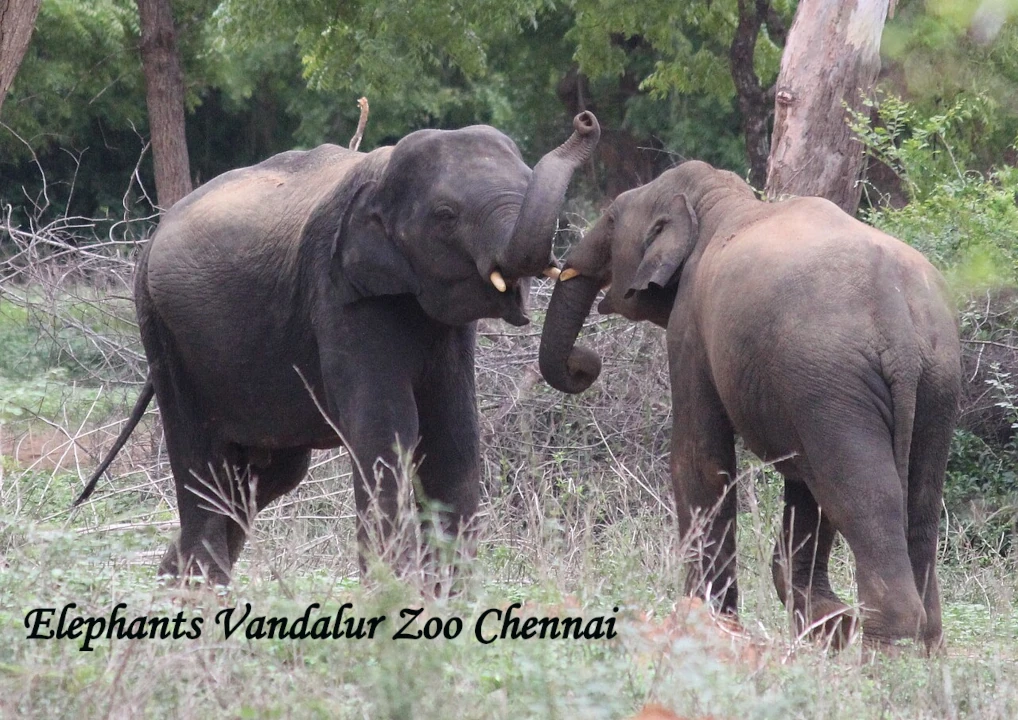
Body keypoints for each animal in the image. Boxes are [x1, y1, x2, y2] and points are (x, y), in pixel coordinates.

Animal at [77, 112, 600, 584]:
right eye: (446, 216)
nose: (586, 122)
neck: (381, 175)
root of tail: (152, 238)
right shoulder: (337, 291)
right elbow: (386, 431)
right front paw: (392, 596)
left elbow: (453, 436)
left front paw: (448, 601)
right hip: (163, 331)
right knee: (203, 462)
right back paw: (200, 593)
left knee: (266, 475)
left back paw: (173, 585)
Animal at [538, 160, 961, 651]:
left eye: (610, 219)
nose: (586, 362)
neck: (718, 202)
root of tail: (899, 324)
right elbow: (802, 486)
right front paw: (826, 627)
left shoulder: (690, 330)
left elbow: (700, 460)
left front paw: (708, 623)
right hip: (933, 381)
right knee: (917, 501)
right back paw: (922, 652)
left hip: (837, 382)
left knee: (863, 500)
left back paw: (883, 657)